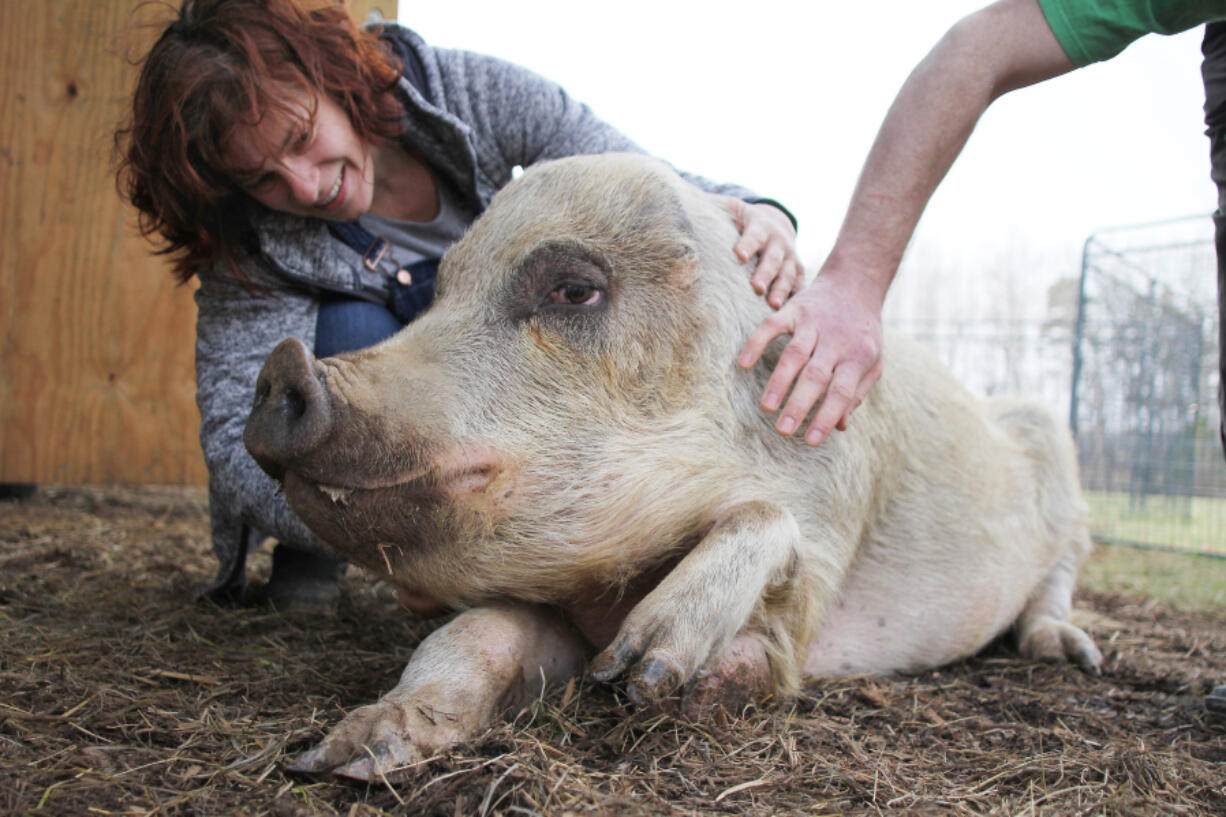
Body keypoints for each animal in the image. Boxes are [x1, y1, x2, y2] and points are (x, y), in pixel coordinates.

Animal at [241, 149, 1103, 780]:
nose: (286, 366)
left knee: (1059, 576)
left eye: (574, 289)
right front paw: (336, 758)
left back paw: (1075, 654)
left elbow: (771, 560)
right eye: (442, 291)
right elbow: (470, 633)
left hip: (1062, 465)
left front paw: (653, 678)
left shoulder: (832, 508)